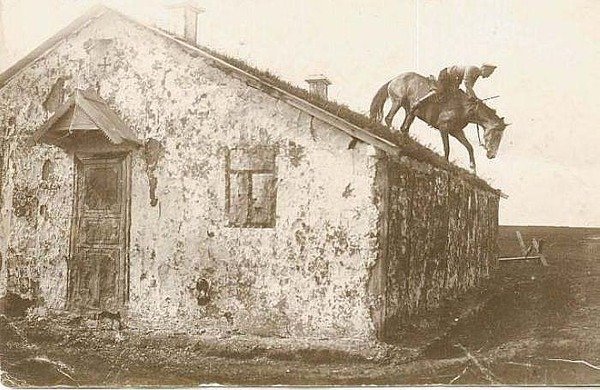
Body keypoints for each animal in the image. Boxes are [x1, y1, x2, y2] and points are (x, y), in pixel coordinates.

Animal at [368, 72, 508, 172]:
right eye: (496, 135)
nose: (492, 155)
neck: (464, 108)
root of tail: (395, 79)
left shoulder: (456, 131)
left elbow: (469, 146)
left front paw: (473, 168)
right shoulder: (444, 127)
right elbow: (447, 147)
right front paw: (445, 163)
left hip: (409, 112)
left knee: (404, 126)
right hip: (398, 101)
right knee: (389, 118)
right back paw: (392, 131)